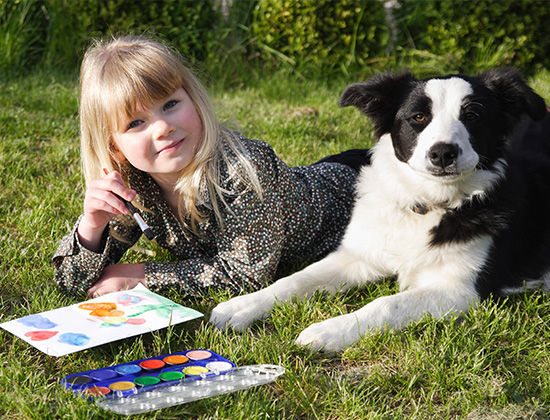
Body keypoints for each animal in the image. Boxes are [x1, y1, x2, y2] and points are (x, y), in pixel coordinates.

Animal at [211, 69, 550, 352]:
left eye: (472, 115)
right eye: (418, 117)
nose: (443, 153)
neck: (425, 205)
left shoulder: (461, 290)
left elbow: (386, 304)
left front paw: (327, 331)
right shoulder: (357, 255)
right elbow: (294, 280)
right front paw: (240, 306)